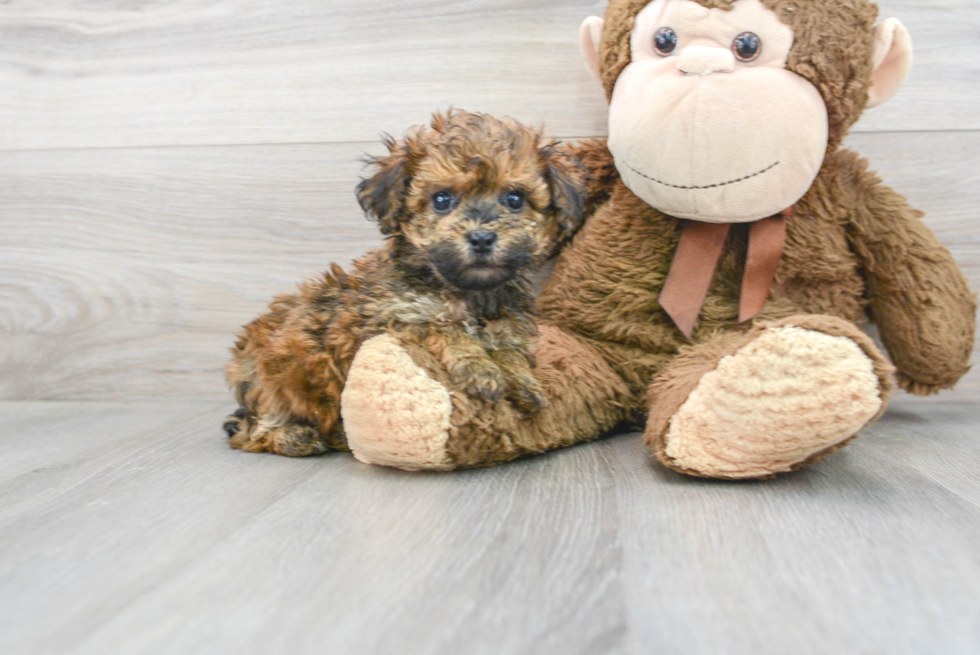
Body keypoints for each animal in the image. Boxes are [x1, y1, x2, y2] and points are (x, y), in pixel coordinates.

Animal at [223, 111, 588, 456]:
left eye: (514, 199)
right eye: (441, 200)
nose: (482, 238)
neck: (467, 291)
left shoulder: (508, 325)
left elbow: (509, 350)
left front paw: (522, 380)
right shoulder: (396, 318)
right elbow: (444, 328)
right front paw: (481, 369)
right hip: (269, 378)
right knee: (251, 434)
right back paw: (295, 436)